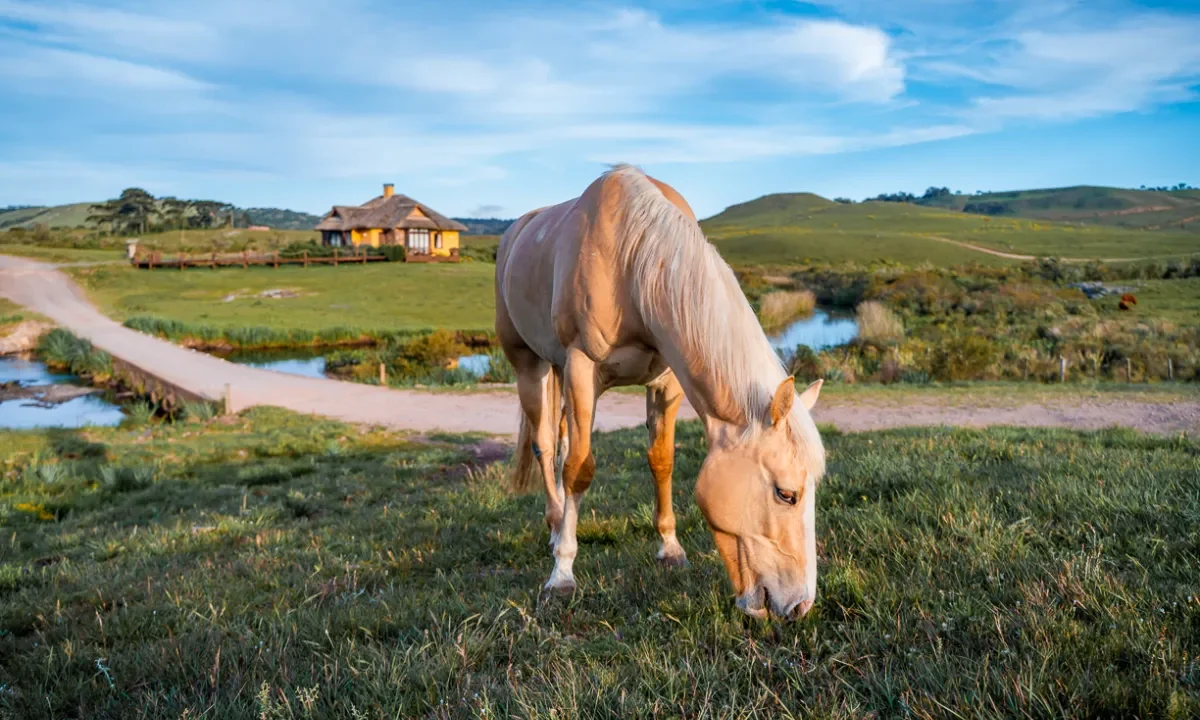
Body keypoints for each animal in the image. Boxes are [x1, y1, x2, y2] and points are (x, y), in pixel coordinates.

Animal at [495, 164, 827, 621]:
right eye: (786, 494)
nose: (800, 605)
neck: (631, 259)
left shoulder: (667, 382)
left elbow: (661, 460)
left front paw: (670, 549)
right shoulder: (581, 368)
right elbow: (579, 469)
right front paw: (562, 574)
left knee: (560, 441)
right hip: (531, 367)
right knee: (546, 446)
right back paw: (555, 524)